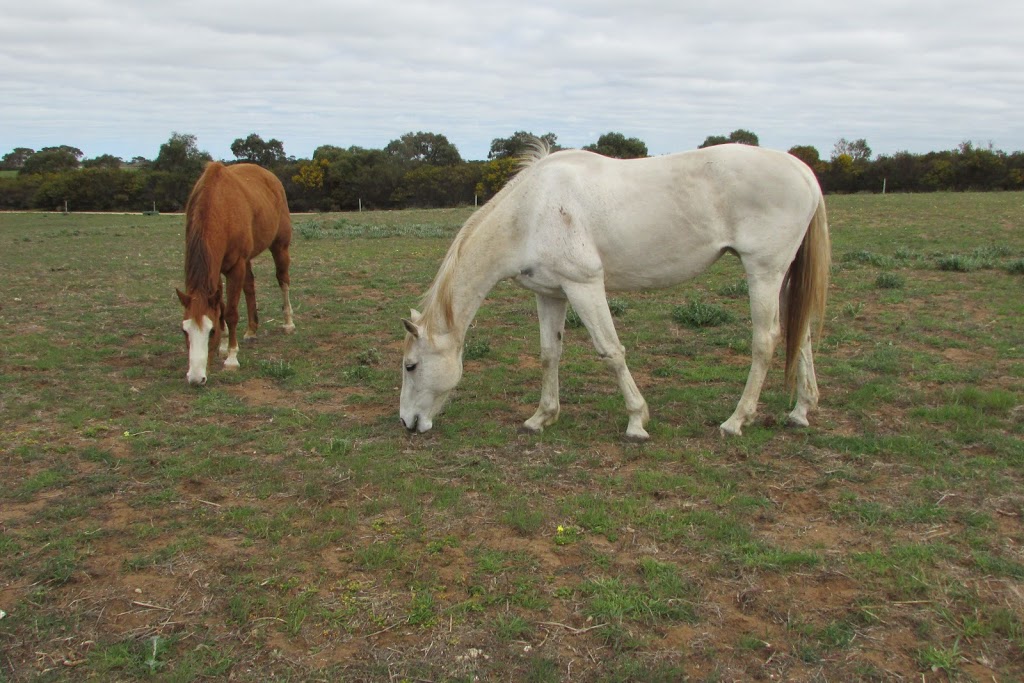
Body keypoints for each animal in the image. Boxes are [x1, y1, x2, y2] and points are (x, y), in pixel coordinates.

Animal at [175, 160, 294, 385]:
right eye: (184, 330)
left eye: (211, 331)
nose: (196, 378)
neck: (219, 207)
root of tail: (270, 177)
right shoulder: (218, 269)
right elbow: (220, 308)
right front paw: (223, 347)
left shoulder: (235, 266)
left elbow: (230, 312)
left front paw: (231, 358)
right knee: (250, 286)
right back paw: (251, 330)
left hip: (279, 247)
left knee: (283, 280)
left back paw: (288, 323)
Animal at [399, 141, 831, 440]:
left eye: (411, 366)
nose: (408, 422)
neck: (531, 212)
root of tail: (802, 171)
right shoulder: (551, 293)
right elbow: (549, 354)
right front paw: (541, 418)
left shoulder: (584, 285)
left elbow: (610, 351)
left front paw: (637, 421)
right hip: (782, 276)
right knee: (801, 333)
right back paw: (800, 411)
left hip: (763, 272)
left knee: (766, 340)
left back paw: (736, 421)